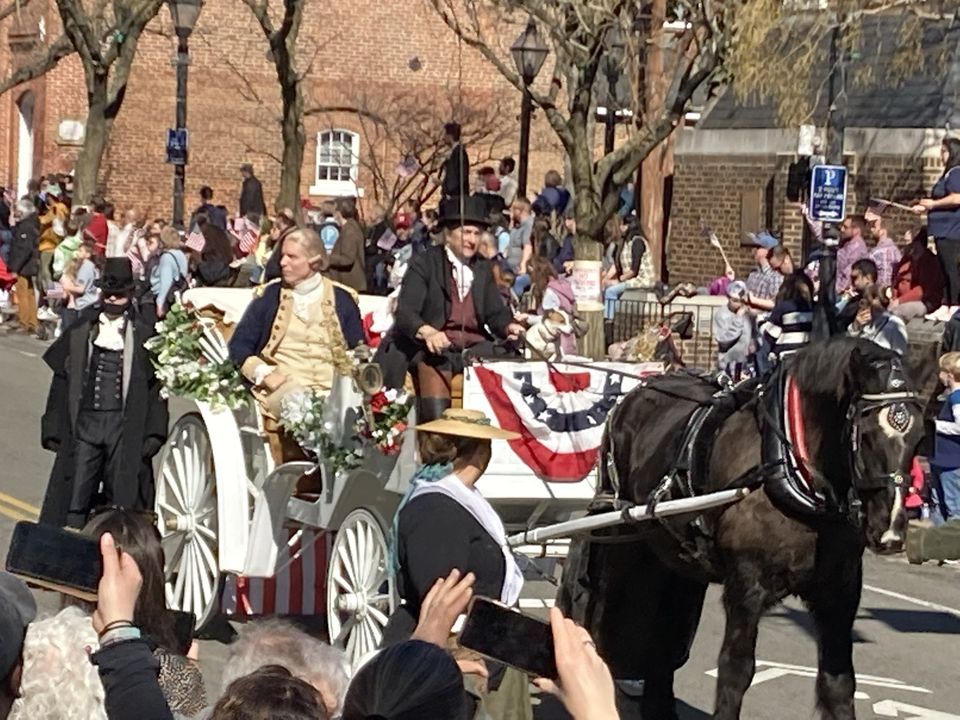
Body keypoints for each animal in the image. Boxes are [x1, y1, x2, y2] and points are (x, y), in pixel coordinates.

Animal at [560, 338, 928, 720]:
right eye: (865, 434)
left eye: (920, 435)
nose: (890, 530)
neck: (793, 470)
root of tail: (636, 393)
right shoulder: (746, 586)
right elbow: (736, 671)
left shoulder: (840, 590)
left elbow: (838, 681)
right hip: (620, 539)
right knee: (601, 612)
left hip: (676, 563)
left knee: (666, 638)